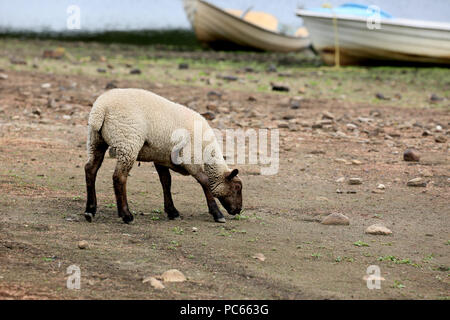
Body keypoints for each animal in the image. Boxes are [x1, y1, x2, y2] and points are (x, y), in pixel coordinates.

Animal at [86, 87, 244, 222]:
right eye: (237, 187)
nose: (239, 210)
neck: (207, 152)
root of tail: (101, 108)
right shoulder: (190, 158)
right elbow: (204, 181)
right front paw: (217, 213)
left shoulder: (160, 158)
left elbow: (166, 182)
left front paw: (172, 211)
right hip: (128, 141)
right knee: (119, 177)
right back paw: (126, 215)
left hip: (96, 139)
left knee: (90, 169)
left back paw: (90, 210)